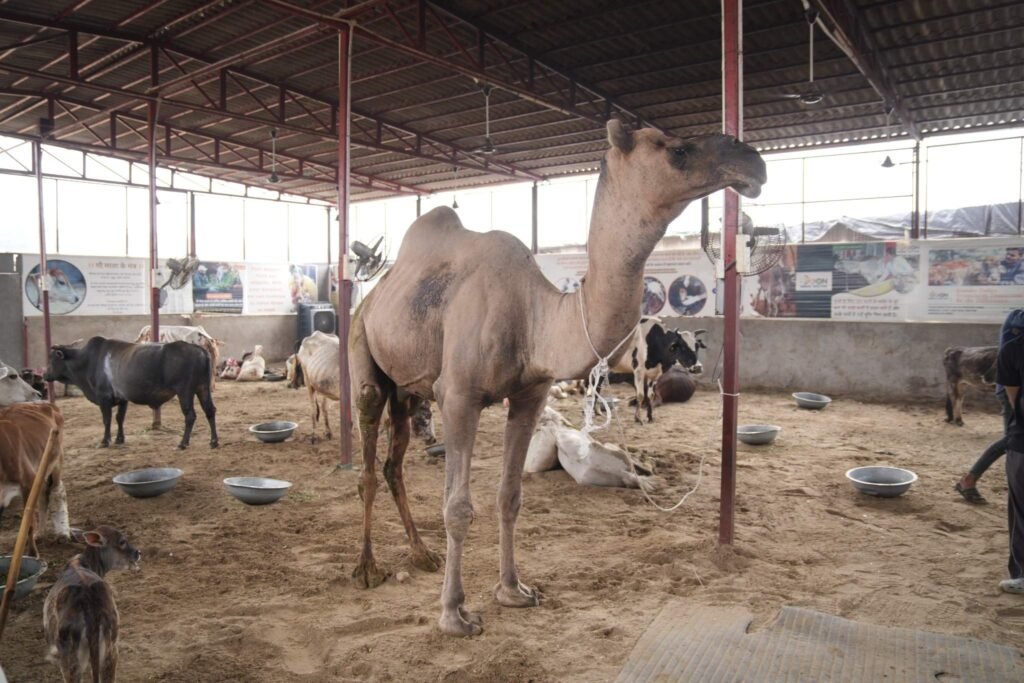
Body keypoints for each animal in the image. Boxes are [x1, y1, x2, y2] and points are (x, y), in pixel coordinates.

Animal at [349, 119, 766, 636]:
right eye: (678, 150)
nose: (754, 162)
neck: (535, 318)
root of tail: (372, 292)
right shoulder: (459, 396)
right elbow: (457, 508)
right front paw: (453, 614)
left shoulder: (530, 394)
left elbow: (510, 496)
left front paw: (513, 591)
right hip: (364, 349)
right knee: (368, 457)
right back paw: (367, 568)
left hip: (408, 387)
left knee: (394, 461)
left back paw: (421, 553)